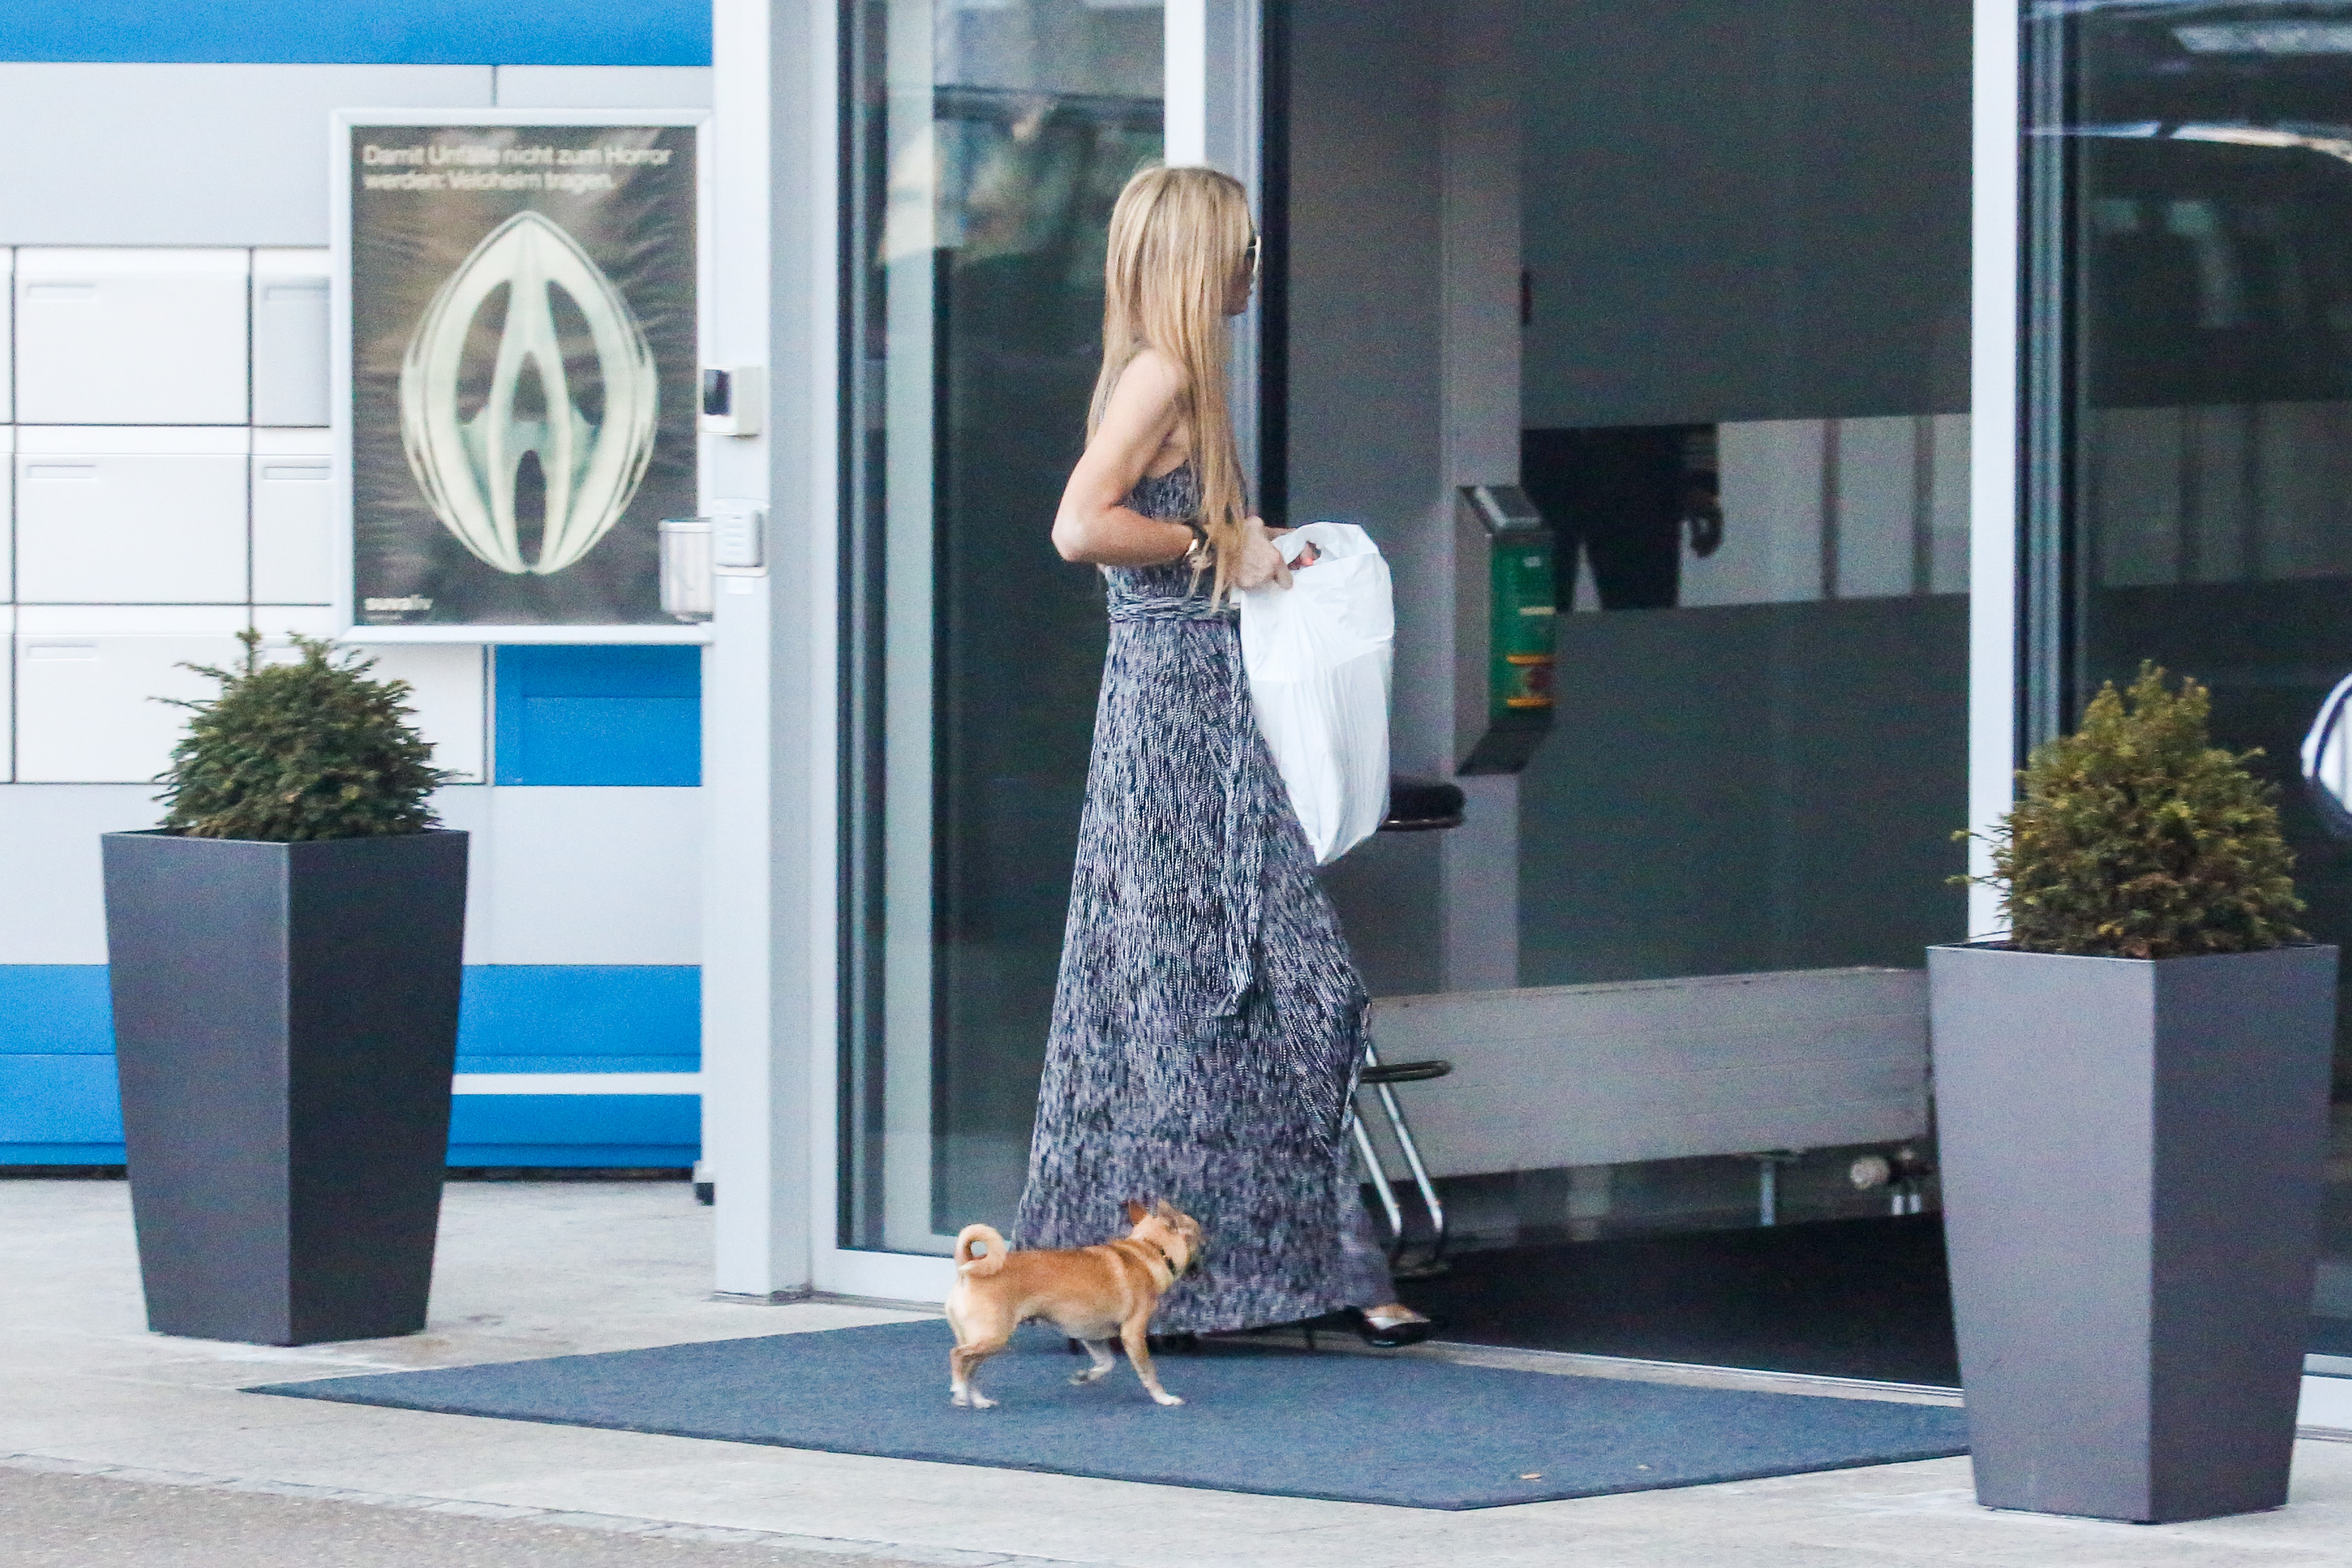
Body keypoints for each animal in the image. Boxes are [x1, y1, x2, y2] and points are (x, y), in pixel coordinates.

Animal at [944, 1199, 1205, 1409]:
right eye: (1201, 1238)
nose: (1209, 1247)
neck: (1150, 1248)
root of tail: (971, 1266)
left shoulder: (1091, 1336)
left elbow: (1106, 1363)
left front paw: (1085, 1376)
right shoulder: (1133, 1334)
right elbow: (1148, 1372)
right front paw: (1164, 1398)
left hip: (984, 1342)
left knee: (970, 1369)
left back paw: (978, 1400)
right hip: (993, 1337)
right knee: (957, 1355)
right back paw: (960, 1392)